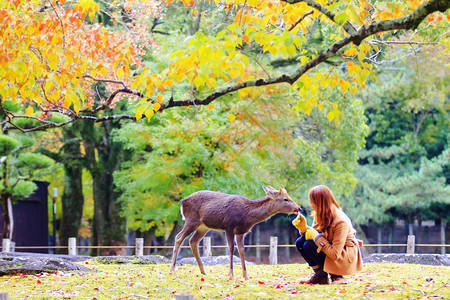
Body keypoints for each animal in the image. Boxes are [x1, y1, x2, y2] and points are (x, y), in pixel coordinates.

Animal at [169, 186, 298, 280]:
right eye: (286, 199)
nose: (298, 208)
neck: (246, 216)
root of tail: (182, 202)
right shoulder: (229, 226)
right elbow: (231, 248)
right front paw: (231, 275)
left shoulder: (241, 232)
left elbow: (241, 250)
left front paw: (246, 276)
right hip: (191, 220)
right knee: (178, 237)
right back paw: (172, 270)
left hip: (203, 226)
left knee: (192, 241)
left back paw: (204, 271)